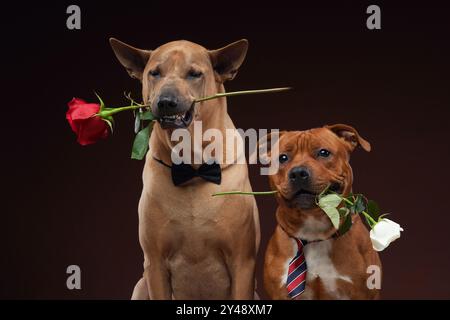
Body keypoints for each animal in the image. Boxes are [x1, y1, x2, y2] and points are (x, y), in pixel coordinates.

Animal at [109, 38, 262, 298]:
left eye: (194, 74)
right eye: (154, 73)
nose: (166, 102)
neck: (192, 169)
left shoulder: (243, 262)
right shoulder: (155, 264)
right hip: (140, 285)